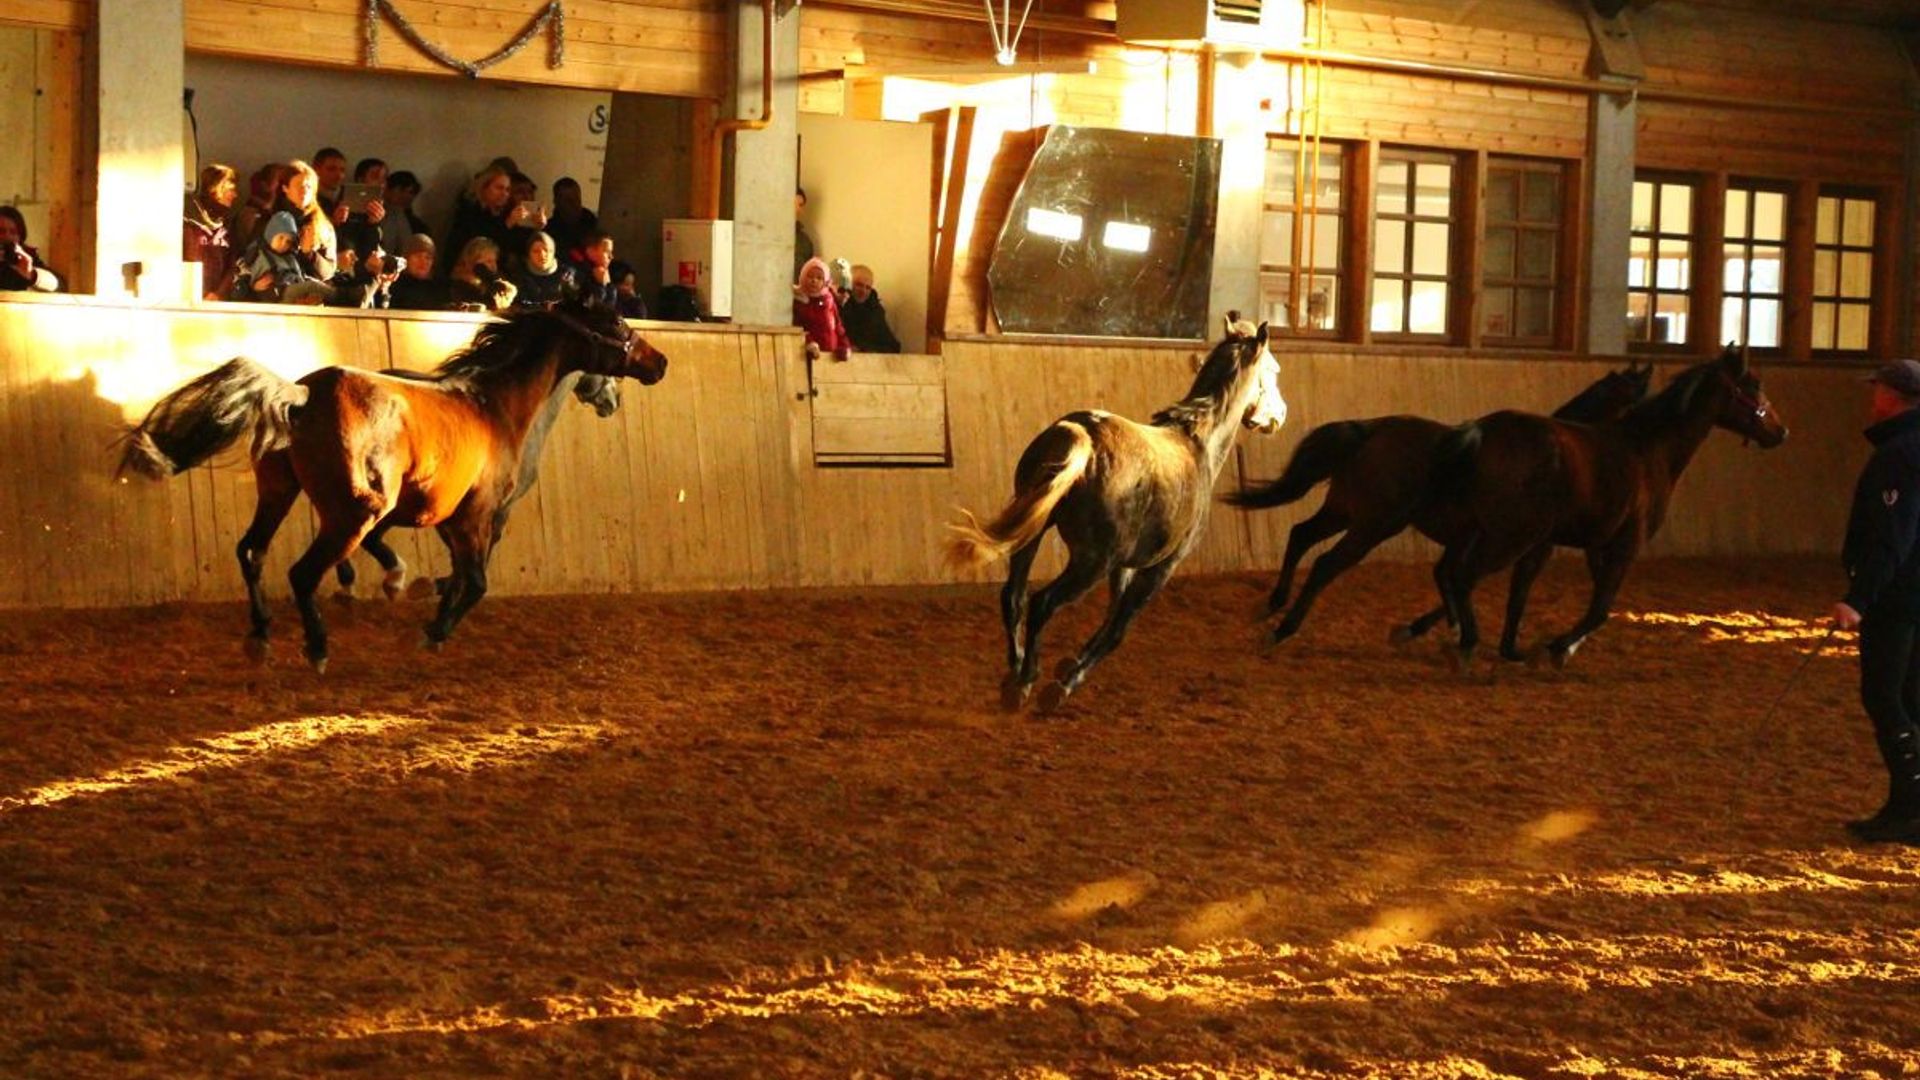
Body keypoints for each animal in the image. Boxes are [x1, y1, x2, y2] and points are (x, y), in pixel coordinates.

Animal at [948, 315, 1290, 711]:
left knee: (1013, 597)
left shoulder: (1126, 565)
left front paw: (1070, 663)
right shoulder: (1161, 567)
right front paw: (1066, 680)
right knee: (1042, 603)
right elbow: (1118, 629)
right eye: (1274, 371)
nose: (1280, 415)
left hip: (1032, 537)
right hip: (1092, 562)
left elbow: (1112, 612)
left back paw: (1013, 673)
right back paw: (1027, 681)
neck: (1197, 443)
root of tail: (1081, 433)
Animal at [1221, 361, 1658, 653]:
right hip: (1373, 525)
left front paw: (1443, 627)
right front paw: (1454, 630)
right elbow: (1459, 578)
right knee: (1327, 563)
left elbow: (1448, 576)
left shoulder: (1465, 542)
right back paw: (1284, 627)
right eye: (1637, 398)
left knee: (1301, 535)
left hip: (1345, 510)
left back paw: (1274, 605)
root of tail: (1369, 430)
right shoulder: (1511, 543)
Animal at [1428, 343, 1781, 664]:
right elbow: (1599, 609)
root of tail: (1481, 431)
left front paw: (1539, 647)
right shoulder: (1623, 545)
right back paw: (1465, 641)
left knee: (1451, 574)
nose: (1781, 431)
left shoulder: (1593, 545)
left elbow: (1544, 597)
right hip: (1509, 536)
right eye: (1755, 385)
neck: (1649, 450)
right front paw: (1557, 648)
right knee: (1462, 576)